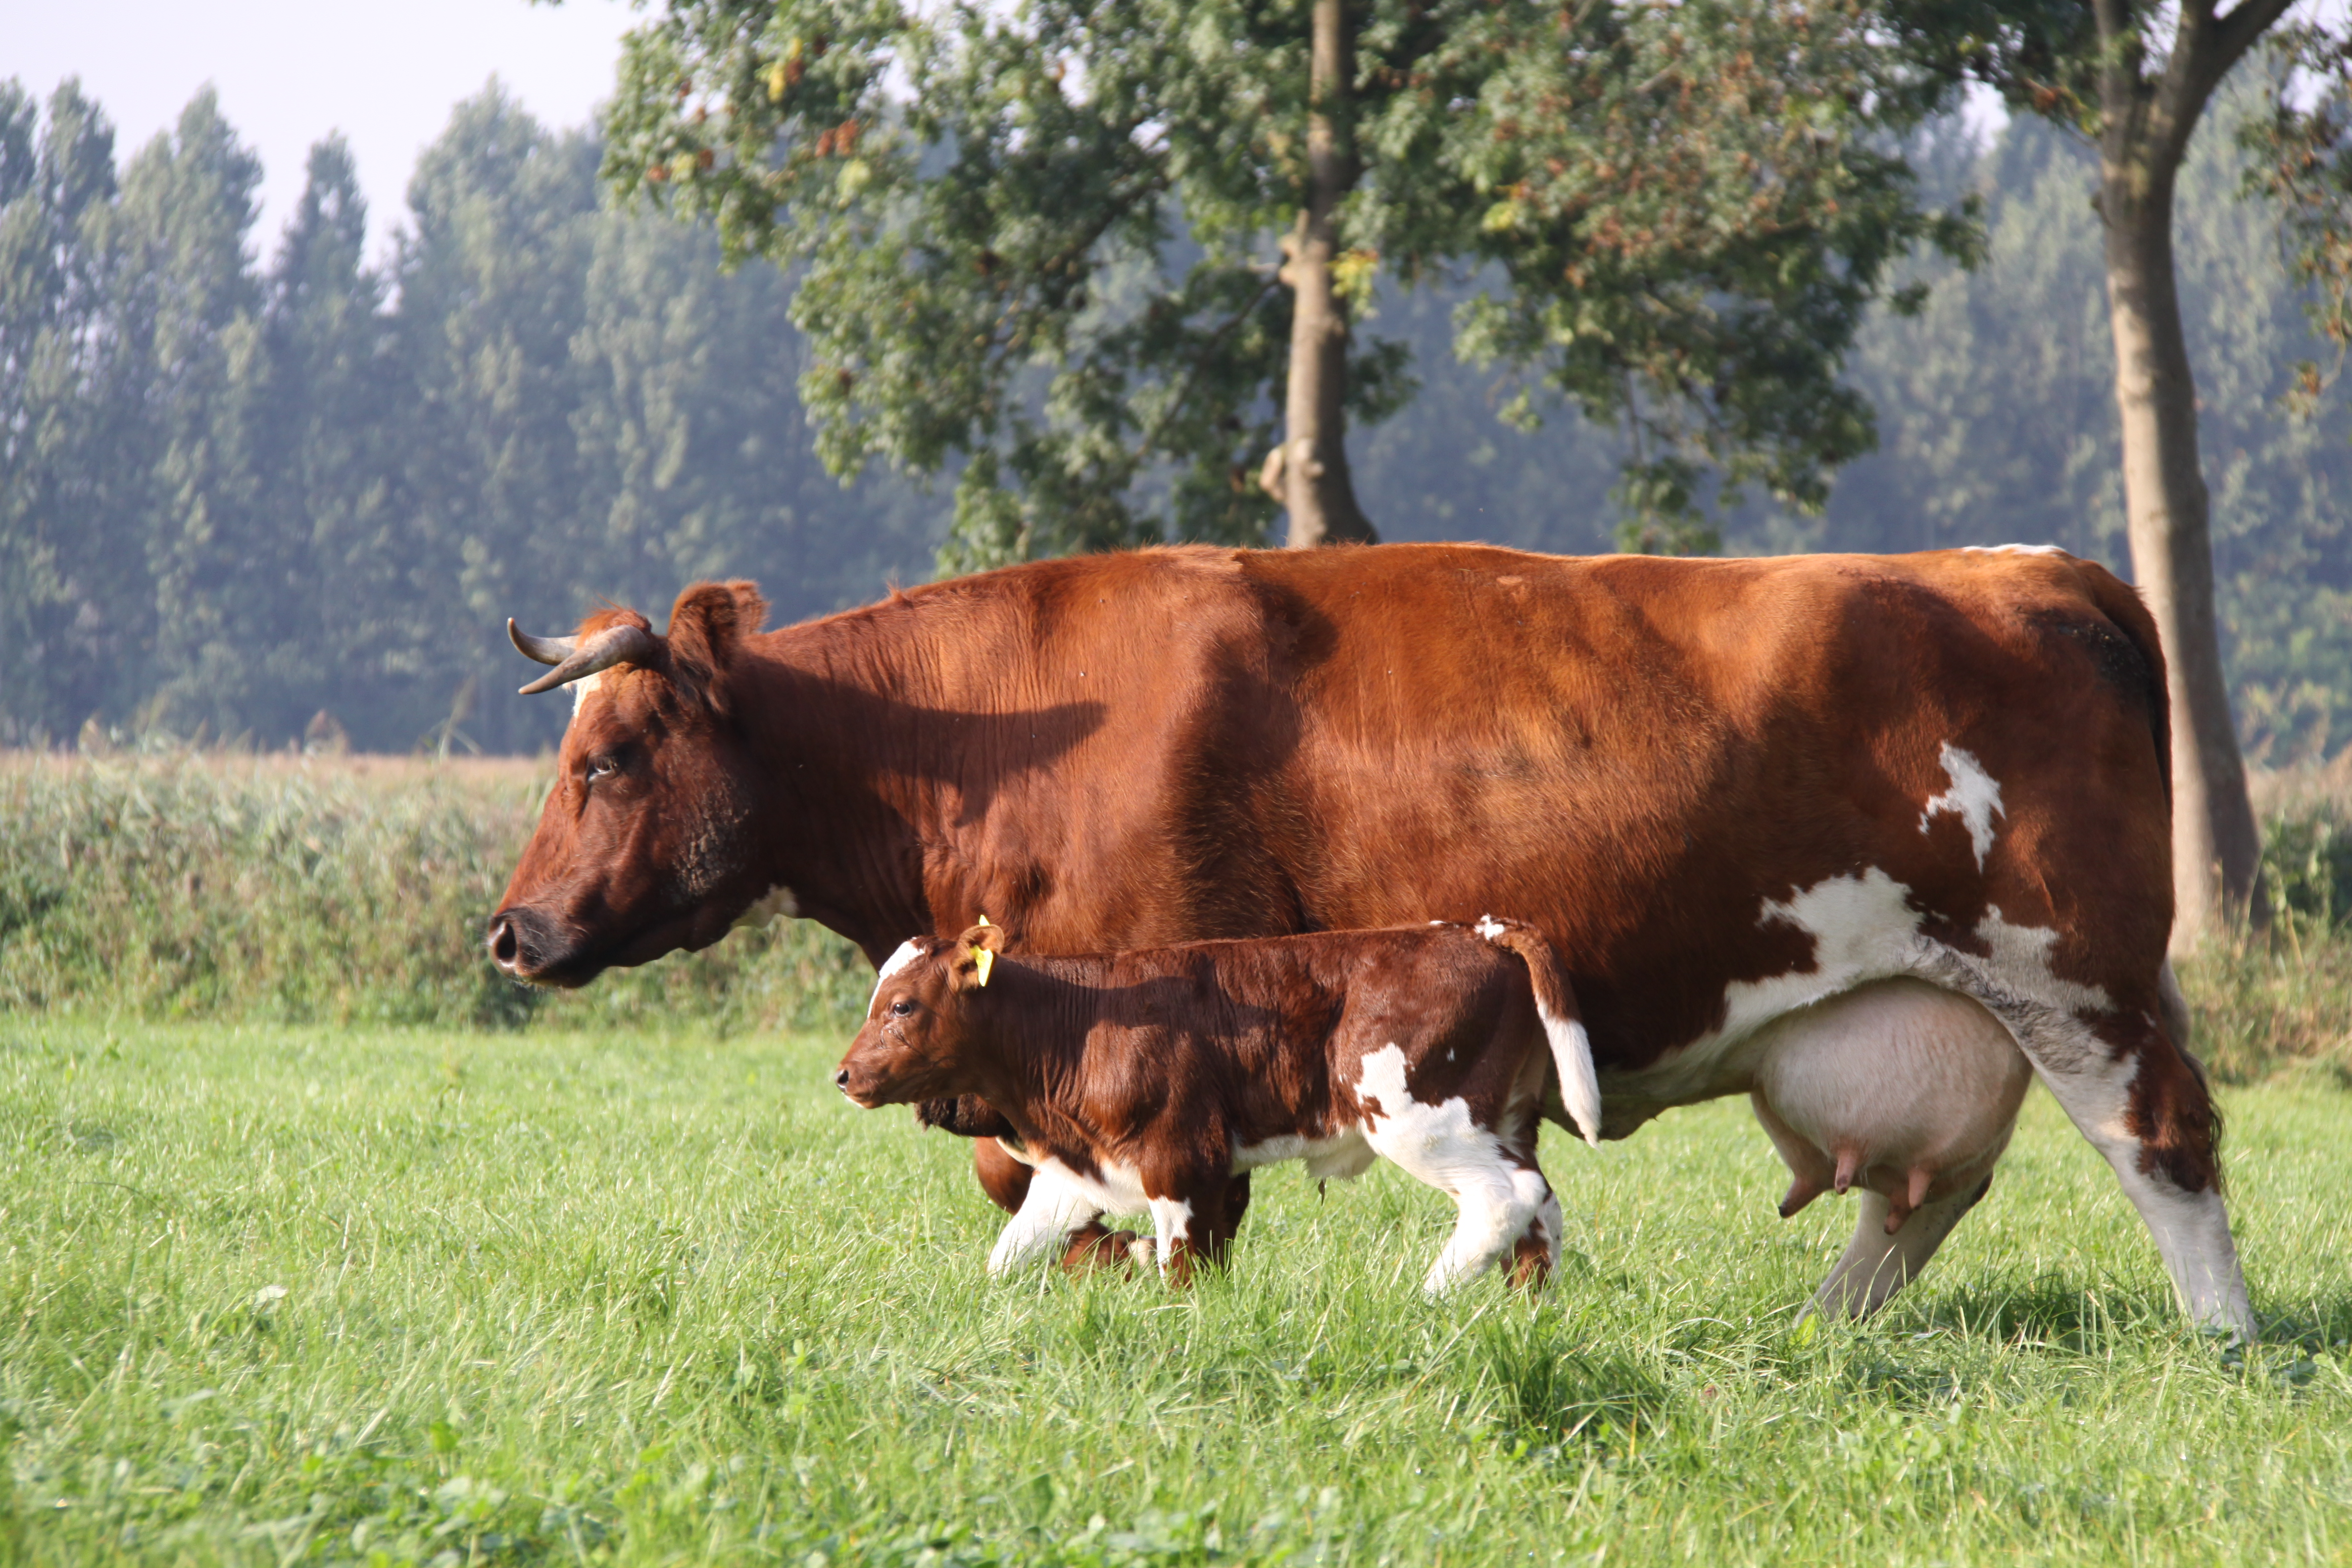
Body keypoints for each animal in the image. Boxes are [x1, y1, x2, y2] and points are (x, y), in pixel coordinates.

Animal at [833, 917, 1602, 1289]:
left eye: (902, 1006)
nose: (842, 1075)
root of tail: (1475, 930)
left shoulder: (1180, 1155)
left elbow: (1184, 1264)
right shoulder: (1086, 1165)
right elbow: (1012, 1253)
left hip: (1424, 1119)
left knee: (1506, 1196)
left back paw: (1428, 1297)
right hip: (1503, 1119)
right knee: (1542, 1205)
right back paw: (1528, 1310)